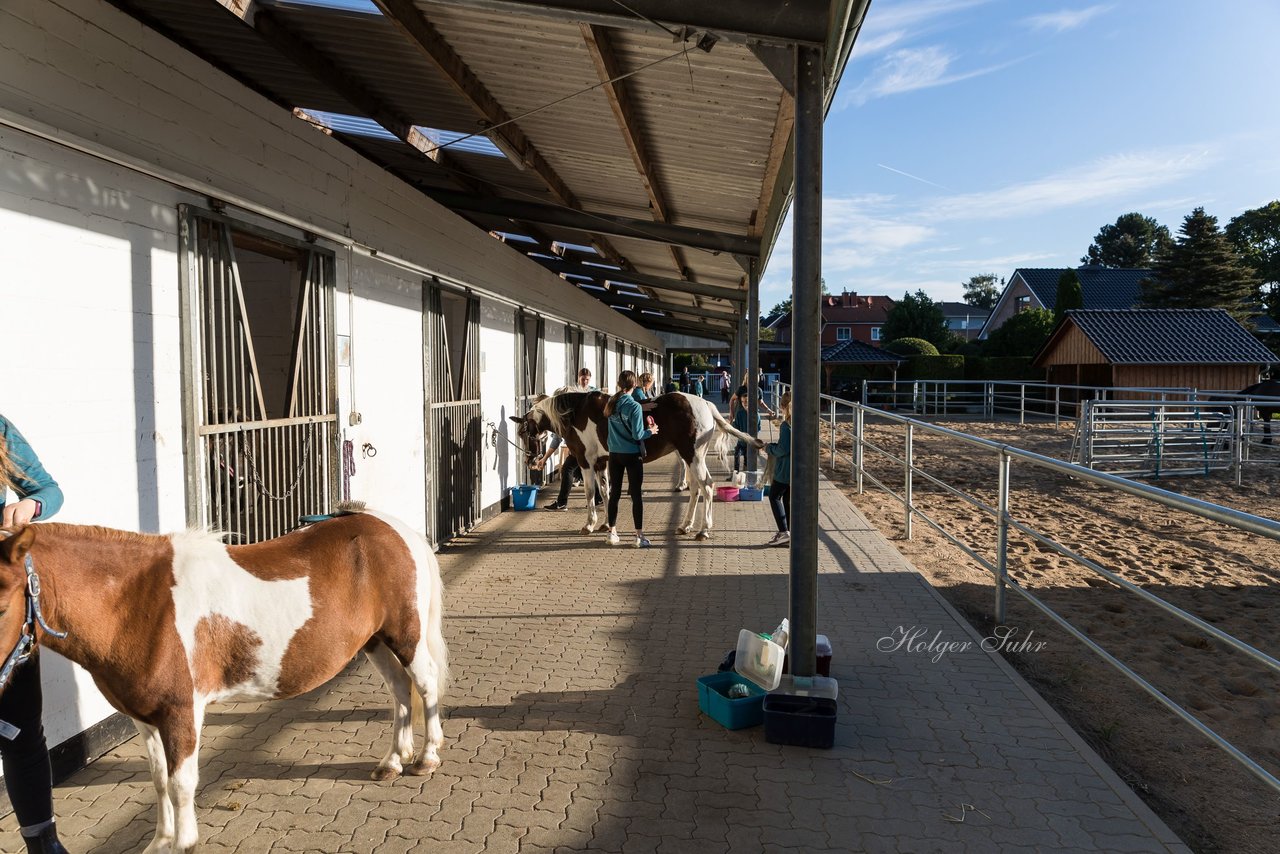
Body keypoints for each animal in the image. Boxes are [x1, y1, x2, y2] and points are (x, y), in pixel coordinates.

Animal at [0, 512, 450, 850]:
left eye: (3, 603)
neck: (139, 602)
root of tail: (396, 527)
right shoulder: (144, 718)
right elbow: (159, 780)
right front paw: (160, 842)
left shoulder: (182, 713)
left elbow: (181, 784)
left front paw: (184, 844)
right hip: (374, 640)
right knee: (399, 690)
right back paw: (392, 761)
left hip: (405, 635)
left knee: (425, 684)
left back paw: (426, 758)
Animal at [509, 391, 757, 537]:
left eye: (524, 432)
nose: (530, 460)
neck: (575, 413)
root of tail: (704, 403)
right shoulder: (601, 463)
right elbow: (606, 492)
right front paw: (606, 524)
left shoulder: (586, 461)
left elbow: (590, 493)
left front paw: (589, 524)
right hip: (692, 457)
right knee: (696, 488)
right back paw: (686, 525)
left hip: (693, 456)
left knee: (706, 486)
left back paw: (704, 530)